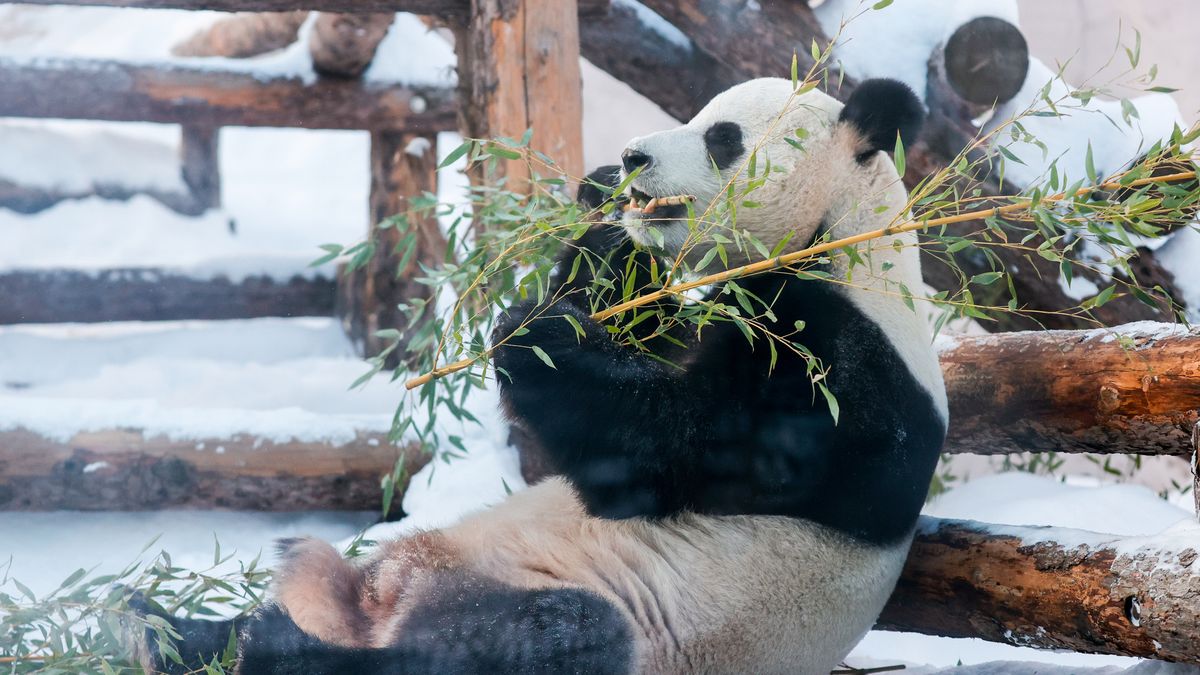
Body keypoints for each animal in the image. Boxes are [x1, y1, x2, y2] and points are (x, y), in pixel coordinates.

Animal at [131, 78, 947, 675]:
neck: (843, 236)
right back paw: (159, 627)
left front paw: (533, 330)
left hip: (616, 616)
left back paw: (258, 646)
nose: (630, 157)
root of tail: (386, 603)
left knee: (534, 642)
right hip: (431, 559)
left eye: (722, 138)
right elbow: (637, 327)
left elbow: (663, 449)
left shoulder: (842, 379)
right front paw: (601, 234)